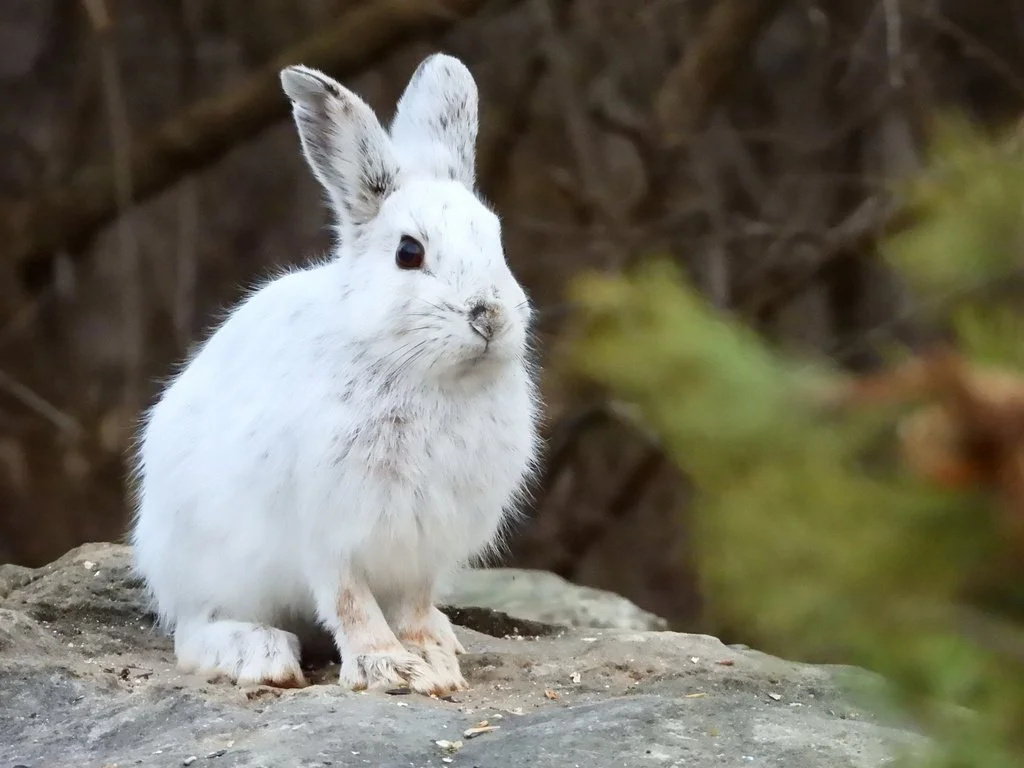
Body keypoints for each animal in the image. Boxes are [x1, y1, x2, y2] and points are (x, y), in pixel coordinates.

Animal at [128, 53, 541, 696]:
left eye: (496, 241)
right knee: (195, 631)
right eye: (408, 253)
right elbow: (351, 604)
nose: (490, 316)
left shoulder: (423, 544)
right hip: (207, 563)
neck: (424, 372)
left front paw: (434, 665)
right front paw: (389, 668)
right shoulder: (329, 532)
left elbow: (413, 604)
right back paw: (262, 656)